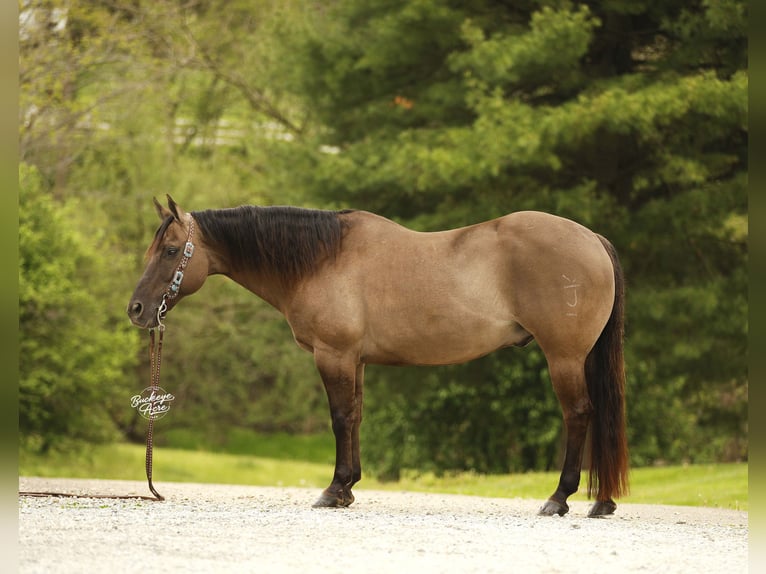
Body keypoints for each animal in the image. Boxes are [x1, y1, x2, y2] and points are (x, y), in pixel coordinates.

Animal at [127, 195, 629, 517]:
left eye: (170, 250)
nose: (137, 310)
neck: (323, 260)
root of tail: (592, 239)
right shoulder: (357, 360)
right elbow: (356, 416)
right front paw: (348, 487)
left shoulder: (334, 355)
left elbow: (339, 418)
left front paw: (333, 490)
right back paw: (601, 502)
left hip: (564, 357)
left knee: (578, 414)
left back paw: (559, 499)